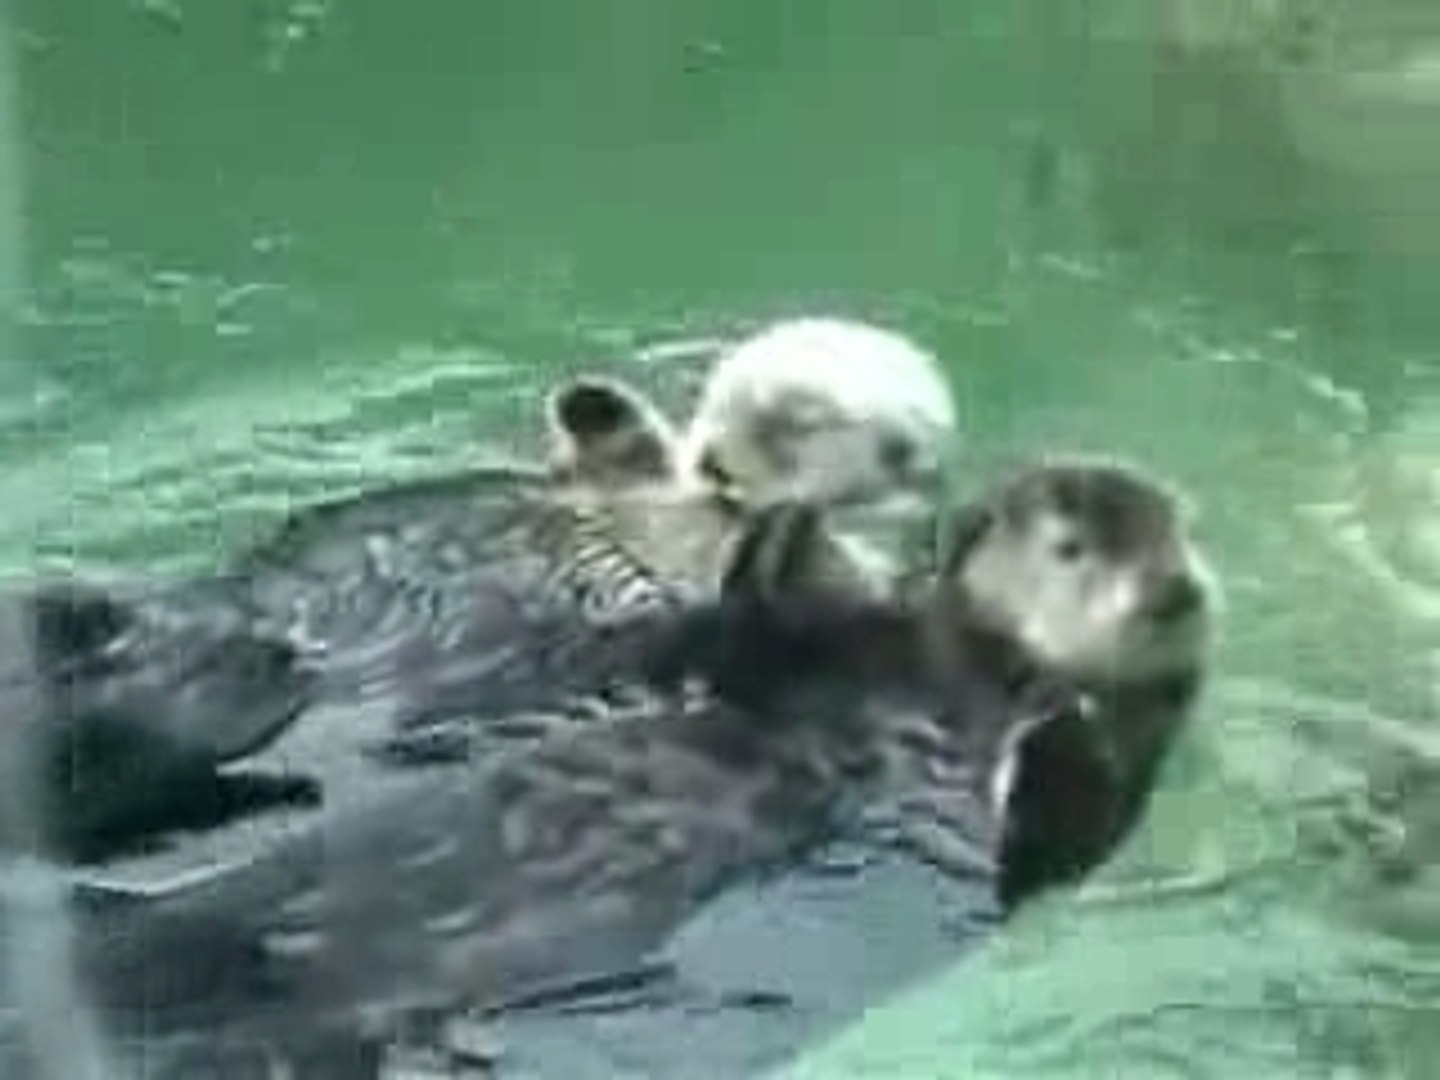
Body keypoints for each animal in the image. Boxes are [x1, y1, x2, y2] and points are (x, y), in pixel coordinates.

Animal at [55, 459, 1213, 1079]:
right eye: (1070, 545)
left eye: (1176, 543)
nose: (1173, 593)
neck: (951, 677)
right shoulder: (815, 653)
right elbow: (764, 632)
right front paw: (786, 530)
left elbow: (1062, 822)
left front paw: (1067, 722)